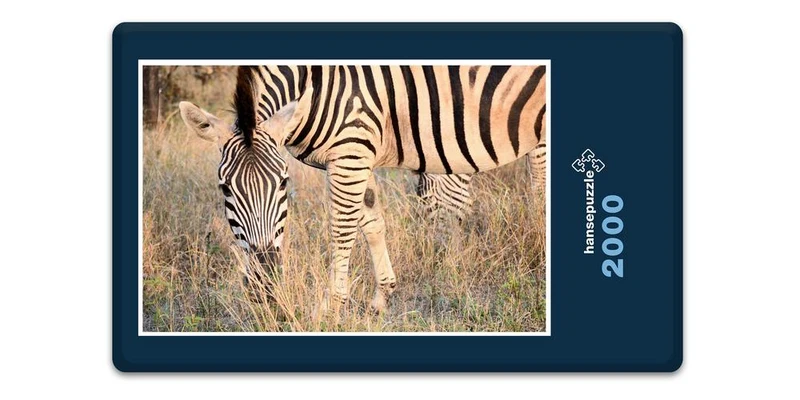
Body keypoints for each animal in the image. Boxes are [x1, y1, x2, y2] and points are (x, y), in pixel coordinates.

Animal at [179, 65, 547, 313]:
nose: (265, 281)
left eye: (284, 183)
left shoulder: (351, 150)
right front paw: (382, 295)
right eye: (225, 189)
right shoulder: (358, 151)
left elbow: (342, 229)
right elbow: (371, 223)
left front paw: (330, 307)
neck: (315, 86)